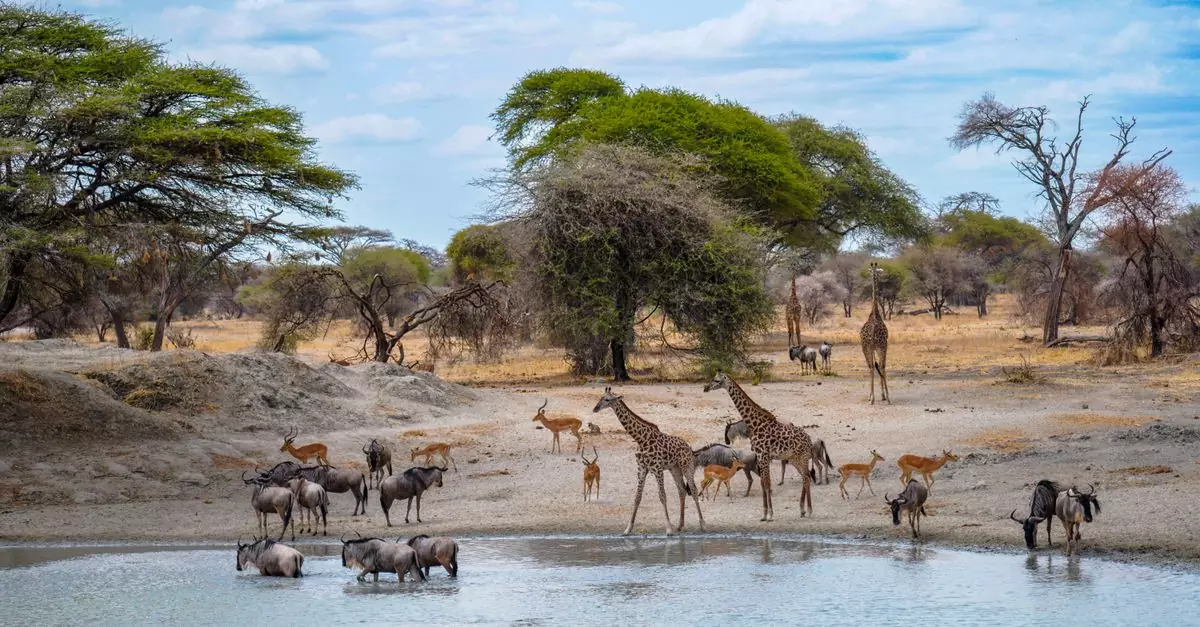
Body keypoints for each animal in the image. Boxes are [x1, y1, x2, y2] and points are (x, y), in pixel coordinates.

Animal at [593, 387, 705, 536]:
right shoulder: (641, 469)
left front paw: (668, 529)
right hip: (674, 469)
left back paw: (702, 524)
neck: (641, 439)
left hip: (687, 466)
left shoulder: (657, 469)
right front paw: (628, 529)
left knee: (693, 489)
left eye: (607, 399)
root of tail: (689, 447)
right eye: (600, 397)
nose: (595, 408)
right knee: (681, 490)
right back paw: (680, 526)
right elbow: (637, 497)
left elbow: (662, 496)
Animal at [702, 372, 812, 521]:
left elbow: (767, 483)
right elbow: (763, 483)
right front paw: (764, 514)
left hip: (803, 457)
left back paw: (809, 510)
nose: (706, 388)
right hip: (794, 458)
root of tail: (808, 438)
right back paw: (802, 510)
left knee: (806, 477)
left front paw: (770, 514)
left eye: (717, 380)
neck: (754, 424)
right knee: (805, 477)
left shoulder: (764, 456)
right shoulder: (760, 457)